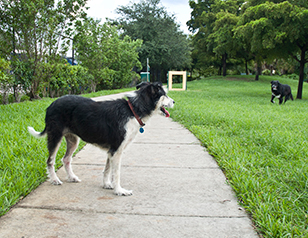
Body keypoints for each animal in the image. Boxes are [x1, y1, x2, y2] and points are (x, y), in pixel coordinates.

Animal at [27, 82, 174, 195]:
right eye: (164, 94)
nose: (173, 101)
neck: (133, 110)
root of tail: (51, 105)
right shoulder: (116, 150)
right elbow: (116, 173)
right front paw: (119, 190)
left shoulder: (112, 150)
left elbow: (107, 169)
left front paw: (107, 184)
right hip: (55, 136)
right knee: (50, 161)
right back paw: (54, 179)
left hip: (73, 140)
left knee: (66, 159)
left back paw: (72, 177)